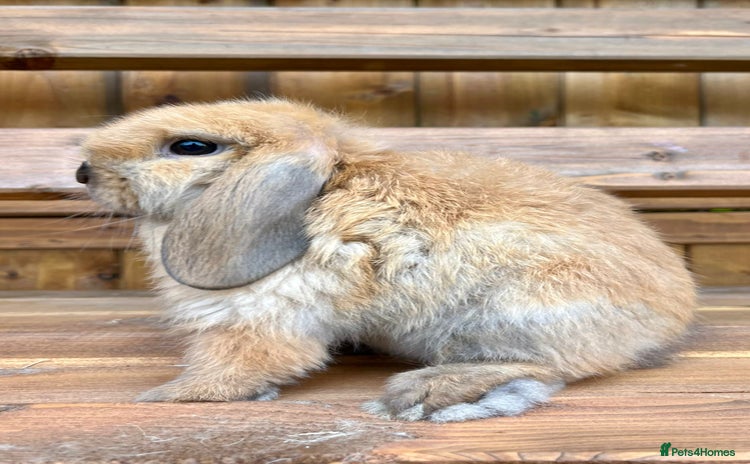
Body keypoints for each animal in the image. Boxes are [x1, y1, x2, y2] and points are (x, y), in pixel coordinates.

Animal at [78, 99, 695, 423]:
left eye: (190, 147)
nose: (84, 172)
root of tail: (672, 313)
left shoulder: (261, 318)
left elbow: (238, 363)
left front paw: (170, 395)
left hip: (512, 312)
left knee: (548, 368)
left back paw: (424, 394)